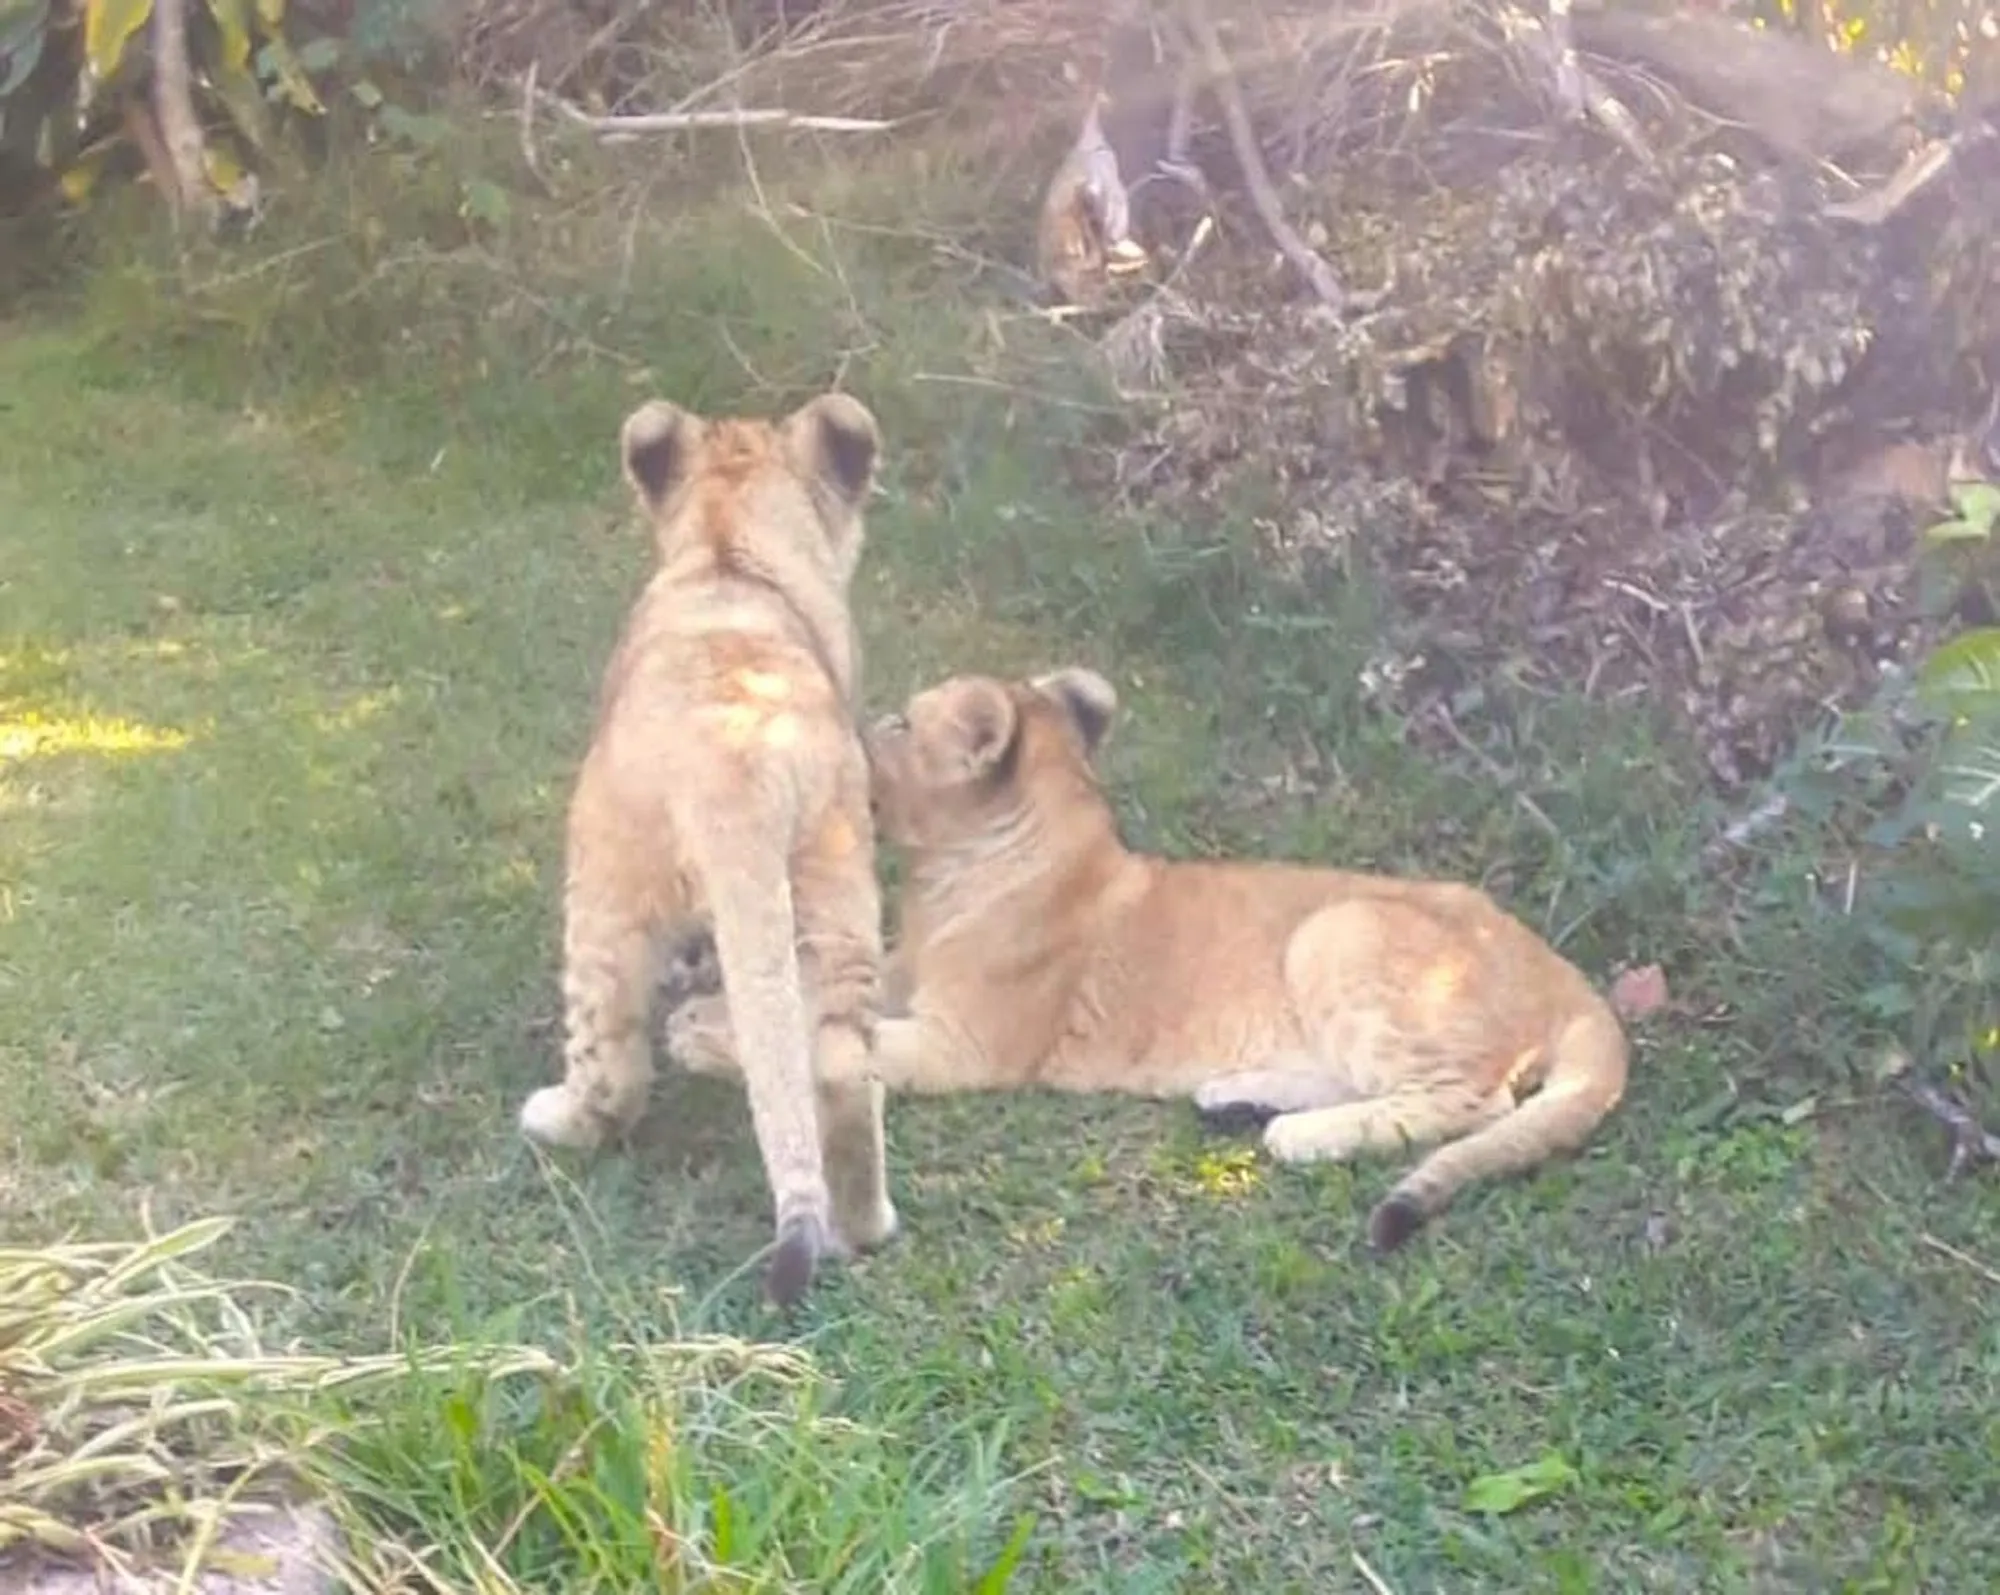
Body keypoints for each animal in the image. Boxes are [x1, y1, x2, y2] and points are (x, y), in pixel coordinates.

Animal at [516, 391, 897, 1309]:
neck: (733, 549)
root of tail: (740, 768)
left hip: (602, 883)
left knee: (610, 1063)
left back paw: (559, 1118)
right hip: (837, 883)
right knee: (842, 1064)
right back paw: (865, 1224)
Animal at [668, 666, 1629, 1254]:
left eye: (903, 723)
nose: (846, 731)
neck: (949, 878)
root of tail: (1563, 973)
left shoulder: (960, 1048)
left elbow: (813, 1033)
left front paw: (699, 1030)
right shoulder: (905, 976)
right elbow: (807, 993)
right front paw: (707, 995)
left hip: (1340, 929)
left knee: (1472, 1099)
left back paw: (1297, 1136)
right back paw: (1238, 1098)